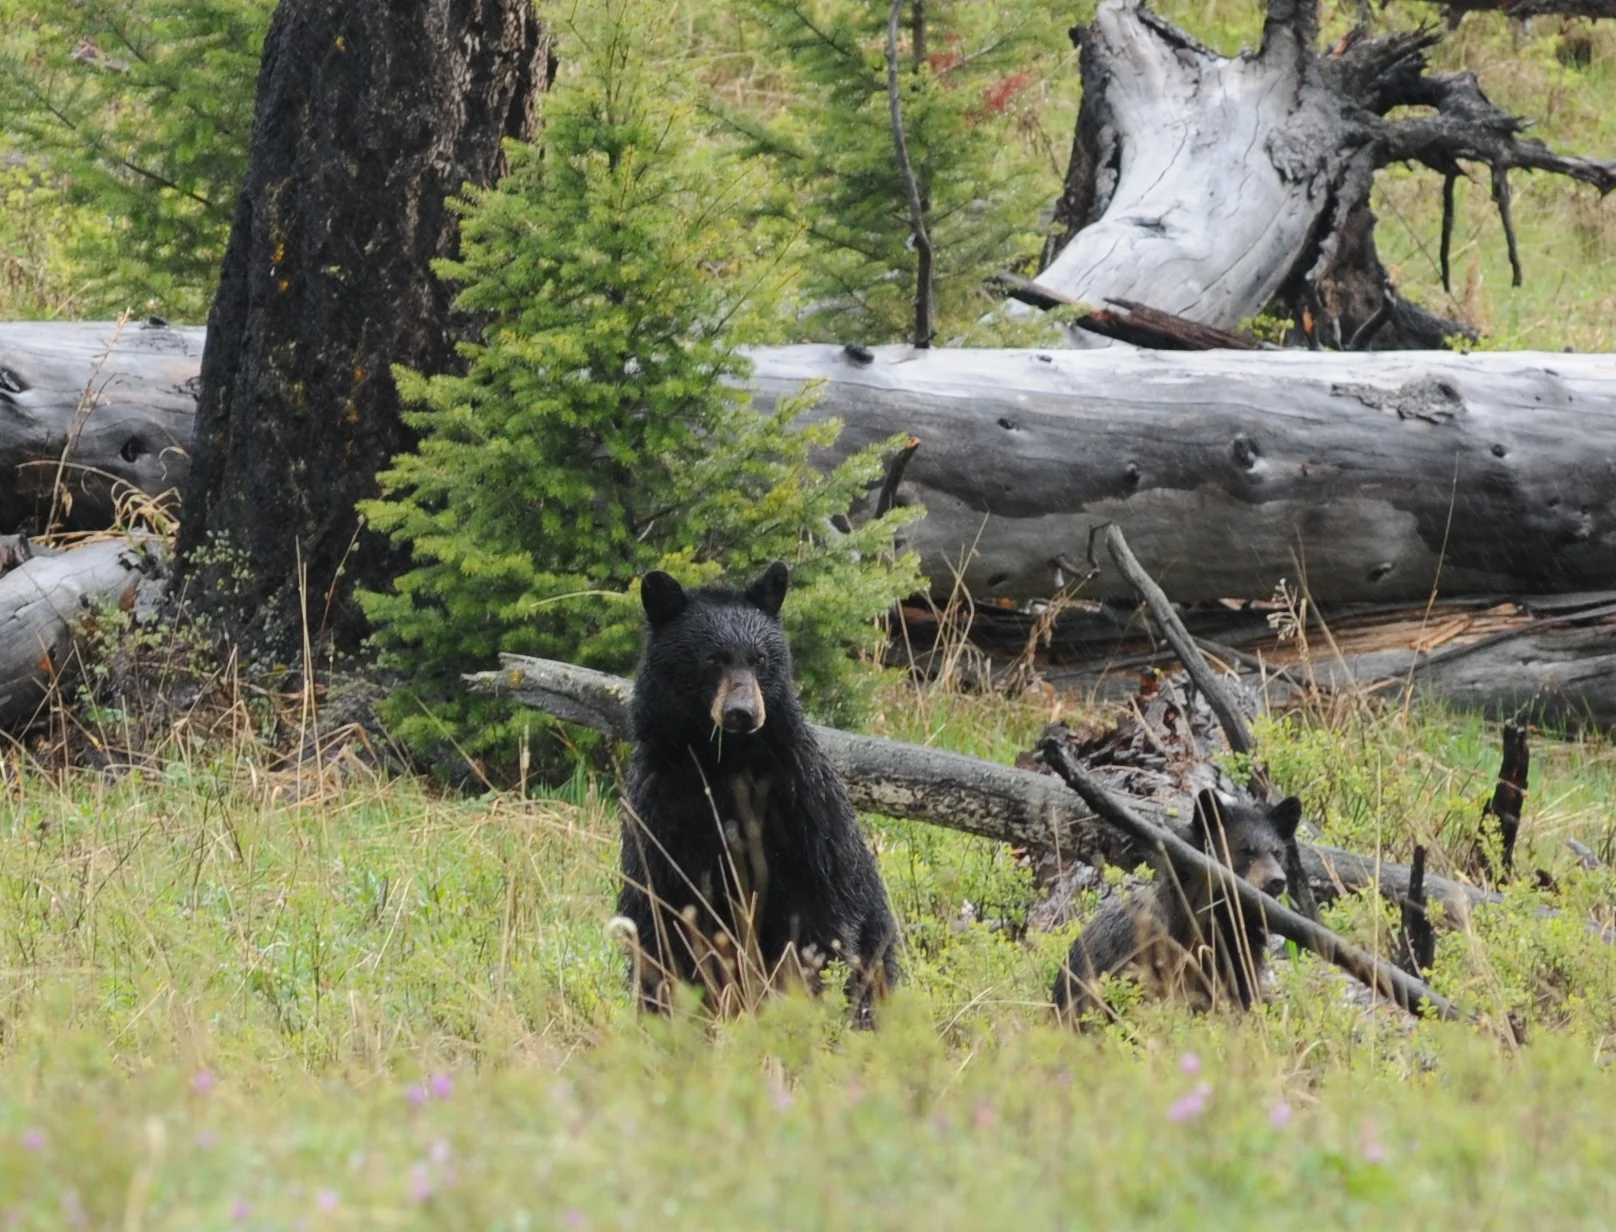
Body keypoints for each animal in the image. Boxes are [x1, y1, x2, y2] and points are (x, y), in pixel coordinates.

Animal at [614, 561, 900, 1023]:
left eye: (761, 658)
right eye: (712, 658)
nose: (742, 713)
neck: (726, 763)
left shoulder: (803, 809)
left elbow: (818, 916)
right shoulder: (662, 814)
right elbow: (666, 919)